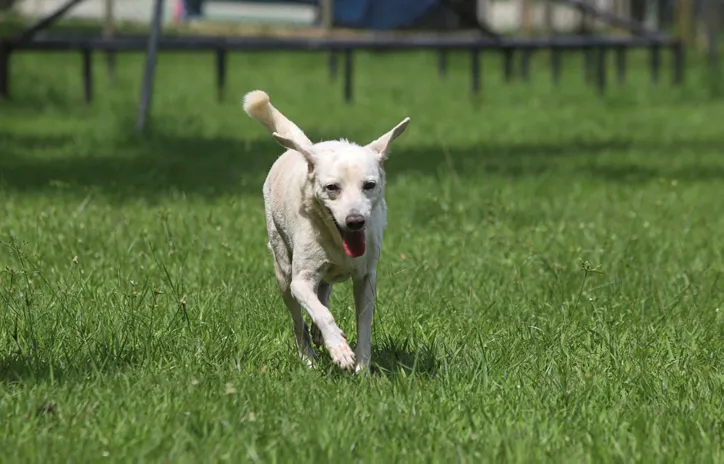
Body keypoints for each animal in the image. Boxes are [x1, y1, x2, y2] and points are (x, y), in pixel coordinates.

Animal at [243, 89, 410, 374]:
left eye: (369, 185)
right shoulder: (300, 280)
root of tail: (307, 149)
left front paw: (362, 369)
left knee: (324, 289)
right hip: (282, 270)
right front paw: (339, 349)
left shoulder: (366, 277)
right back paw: (308, 357)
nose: (355, 221)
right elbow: (320, 312)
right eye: (332, 187)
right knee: (298, 317)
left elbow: (364, 324)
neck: (337, 239)